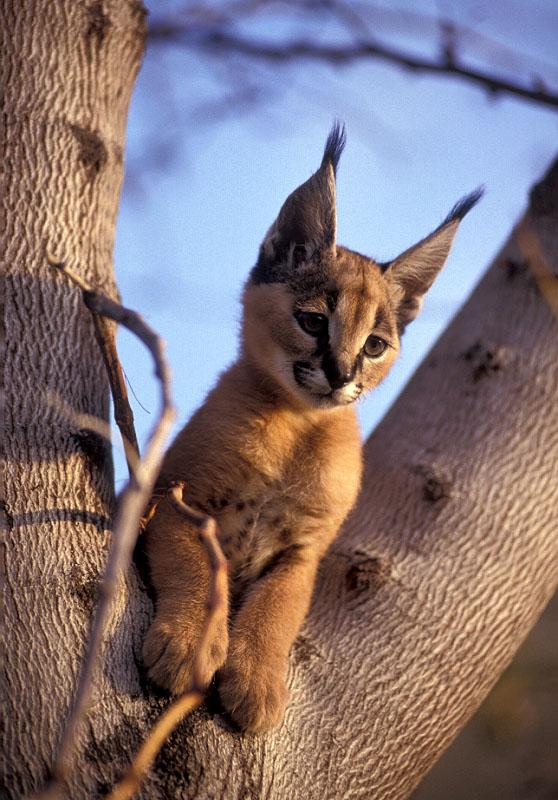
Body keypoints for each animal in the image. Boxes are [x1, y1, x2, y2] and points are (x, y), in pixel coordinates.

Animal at [142, 123, 484, 732]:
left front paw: (255, 680)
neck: (296, 428)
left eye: (375, 345)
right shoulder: (177, 499)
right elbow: (195, 565)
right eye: (312, 321)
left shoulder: (303, 548)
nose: (341, 374)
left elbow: (278, 608)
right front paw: (187, 646)